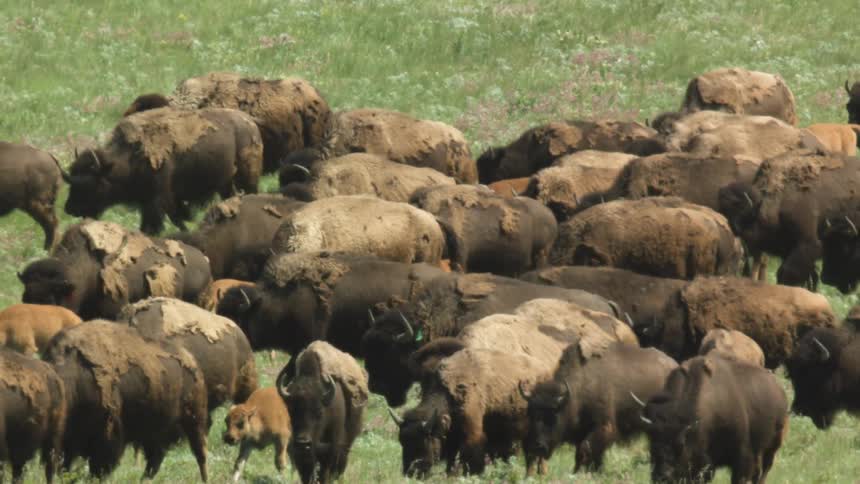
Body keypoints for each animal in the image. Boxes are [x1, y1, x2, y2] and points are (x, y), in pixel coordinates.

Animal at [43, 321, 209, 481]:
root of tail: (191, 359)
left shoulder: (107, 435)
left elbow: (100, 466)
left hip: (194, 420)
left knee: (200, 453)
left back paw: (204, 478)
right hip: (155, 428)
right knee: (156, 457)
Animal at [64, 107, 263, 234]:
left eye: (91, 184)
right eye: (72, 177)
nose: (70, 209)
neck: (130, 157)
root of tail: (250, 123)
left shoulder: (157, 199)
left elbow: (157, 223)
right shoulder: (158, 200)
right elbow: (175, 217)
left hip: (246, 178)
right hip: (226, 183)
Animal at [522, 341, 676, 474]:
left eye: (553, 416)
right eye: (530, 414)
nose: (536, 446)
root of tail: (673, 365)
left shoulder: (602, 426)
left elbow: (585, 450)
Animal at [642, 355, 789, 483]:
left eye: (681, 445)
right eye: (651, 444)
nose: (662, 476)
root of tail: (779, 389)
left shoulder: (742, 454)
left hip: (773, 445)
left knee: (764, 469)